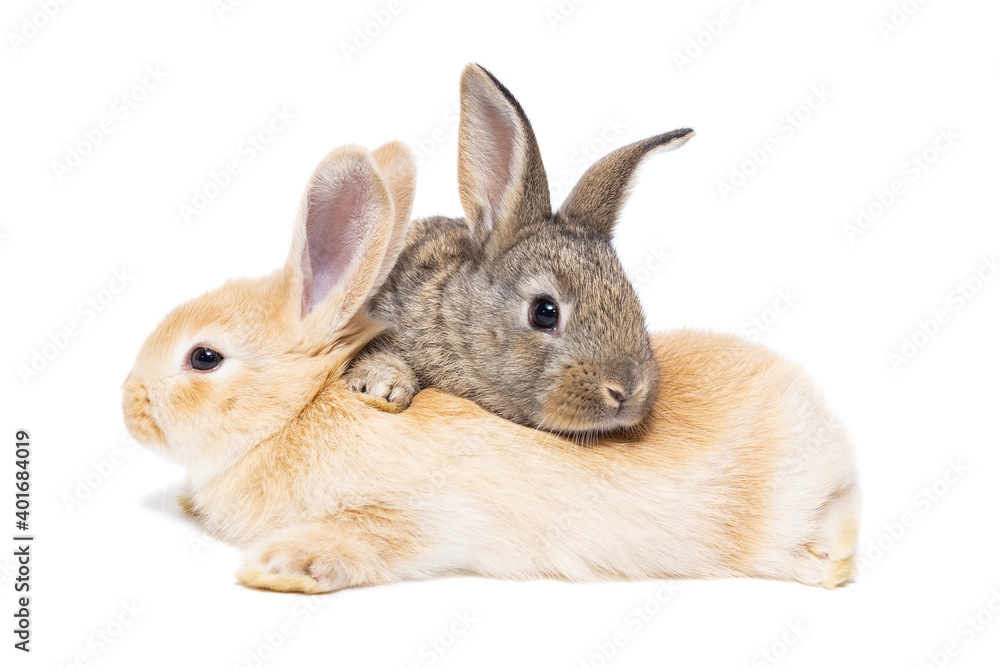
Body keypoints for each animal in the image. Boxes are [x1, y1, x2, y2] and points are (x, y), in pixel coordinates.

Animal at [122, 140, 861, 594]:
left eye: (204, 357)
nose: (129, 404)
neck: (293, 412)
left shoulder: (426, 511)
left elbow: (371, 534)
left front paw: (280, 566)